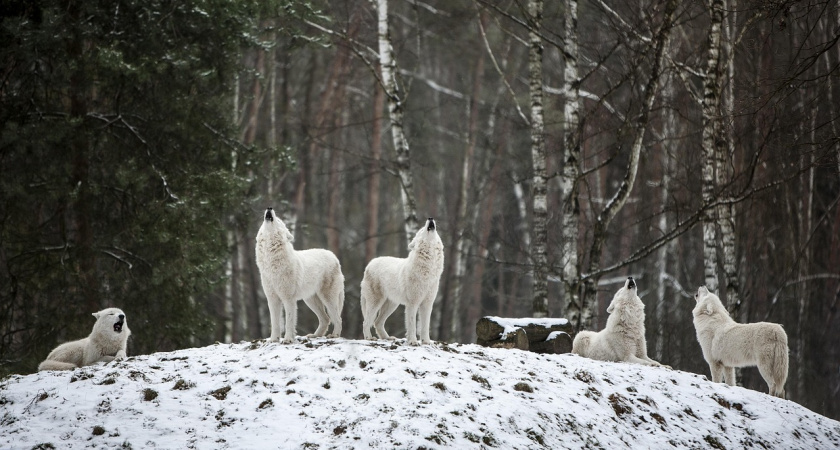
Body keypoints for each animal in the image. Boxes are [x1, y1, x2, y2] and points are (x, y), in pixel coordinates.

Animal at [258, 208, 346, 344]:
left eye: (279, 220)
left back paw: (334, 335)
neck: (271, 262)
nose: (270, 208)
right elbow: (275, 323)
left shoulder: (288, 299)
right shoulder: (272, 299)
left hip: (328, 298)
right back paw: (315, 335)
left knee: (337, 318)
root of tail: (334, 257)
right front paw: (273, 340)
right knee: (325, 319)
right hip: (310, 300)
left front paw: (288, 339)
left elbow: (289, 321)